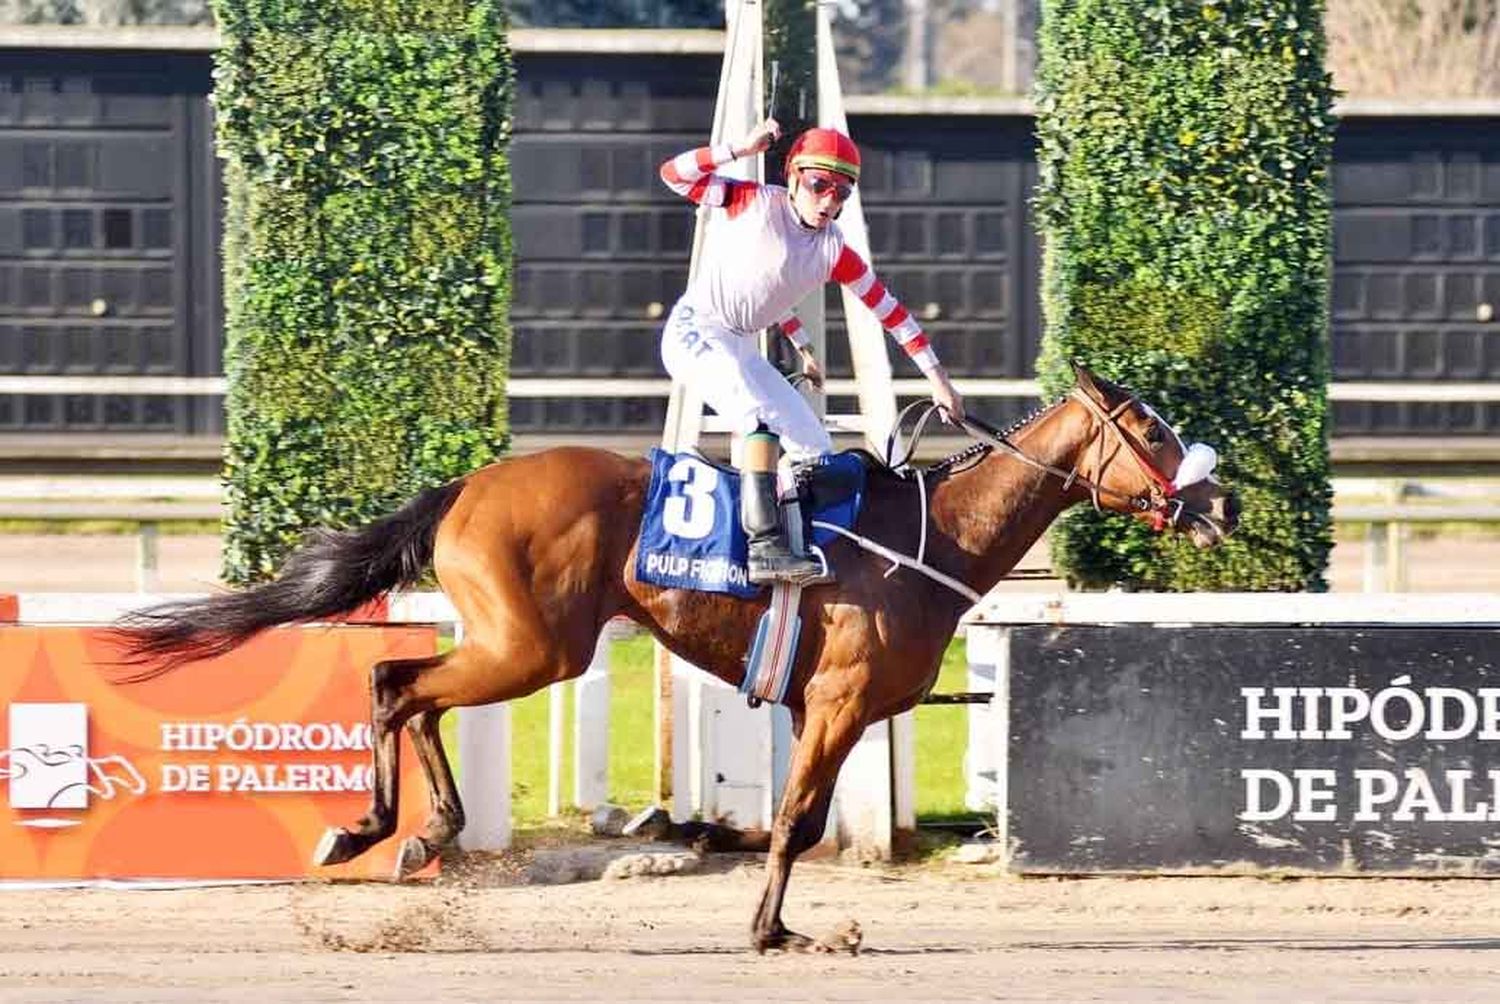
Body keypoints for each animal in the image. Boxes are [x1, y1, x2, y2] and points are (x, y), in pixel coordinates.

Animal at [117, 361, 1236, 954]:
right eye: (1149, 431)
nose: (1219, 501)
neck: (934, 536)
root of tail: (469, 486)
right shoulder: (836, 700)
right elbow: (793, 820)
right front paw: (776, 932)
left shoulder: (828, 708)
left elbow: (801, 819)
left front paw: (780, 927)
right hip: (534, 646)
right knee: (396, 680)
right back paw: (368, 828)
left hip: (520, 644)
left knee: (415, 696)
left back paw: (424, 830)